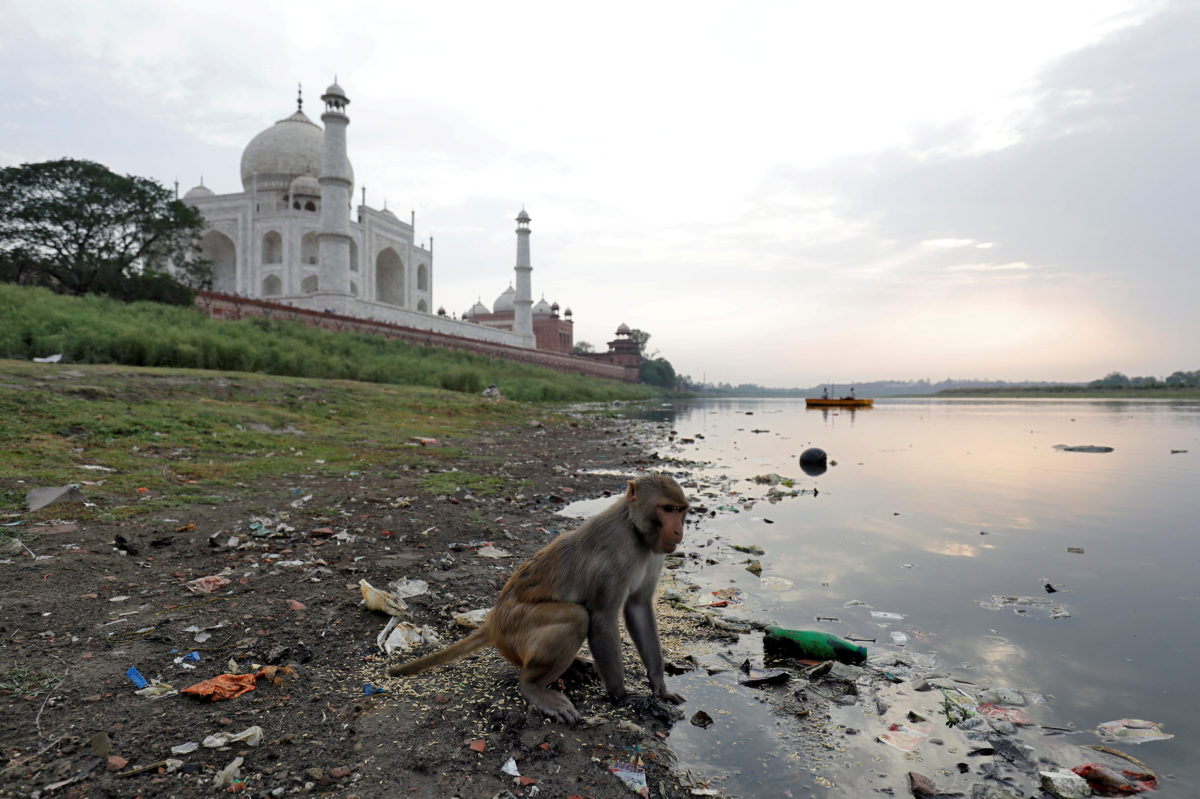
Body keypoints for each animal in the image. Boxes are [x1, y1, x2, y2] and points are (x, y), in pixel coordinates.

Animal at [388, 472, 691, 719]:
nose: (679, 530)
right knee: (577, 617)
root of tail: (493, 620)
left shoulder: (654, 554)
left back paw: (574, 666)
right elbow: (602, 619)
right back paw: (533, 686)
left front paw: (659, 686)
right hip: (515, 629)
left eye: (680, 511)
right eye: (667, 509)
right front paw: (622, 695)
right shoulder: (614, 557)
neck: (635, 530)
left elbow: (639, 607)